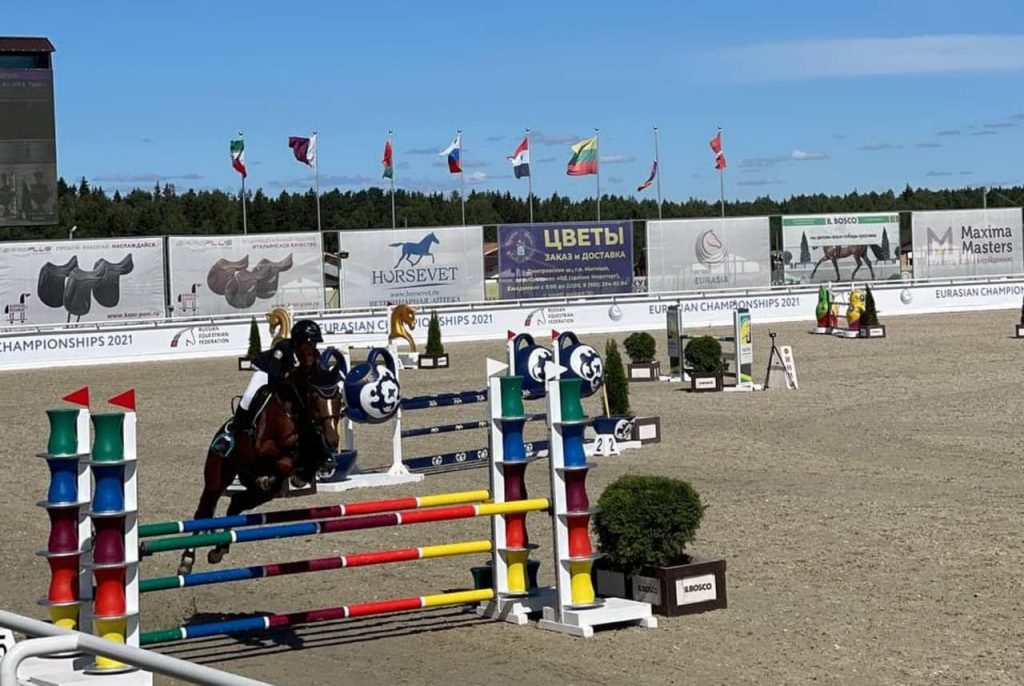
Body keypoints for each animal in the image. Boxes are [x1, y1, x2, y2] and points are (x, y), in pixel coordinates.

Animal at [175, 369, 343, 575]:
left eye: (339, 398)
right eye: (314, 397)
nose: (333, 441)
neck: (295, 414)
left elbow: (306, 468)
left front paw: (295, 478)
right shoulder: (264, 446)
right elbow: (286, 462)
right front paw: (273, 478)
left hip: (257, 493)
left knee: (236, 502)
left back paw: (220, 548)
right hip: (216, 479)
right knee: (203, 513)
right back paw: (187, 560)